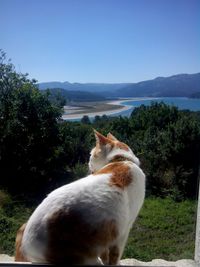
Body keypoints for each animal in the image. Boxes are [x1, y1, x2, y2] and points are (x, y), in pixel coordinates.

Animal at [14, 130, 145, 266]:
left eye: (91, 155)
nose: (88, 162)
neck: (121, 160)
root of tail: (26, 247)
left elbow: (106, 254)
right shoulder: (123, 231)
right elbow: (115, 256)